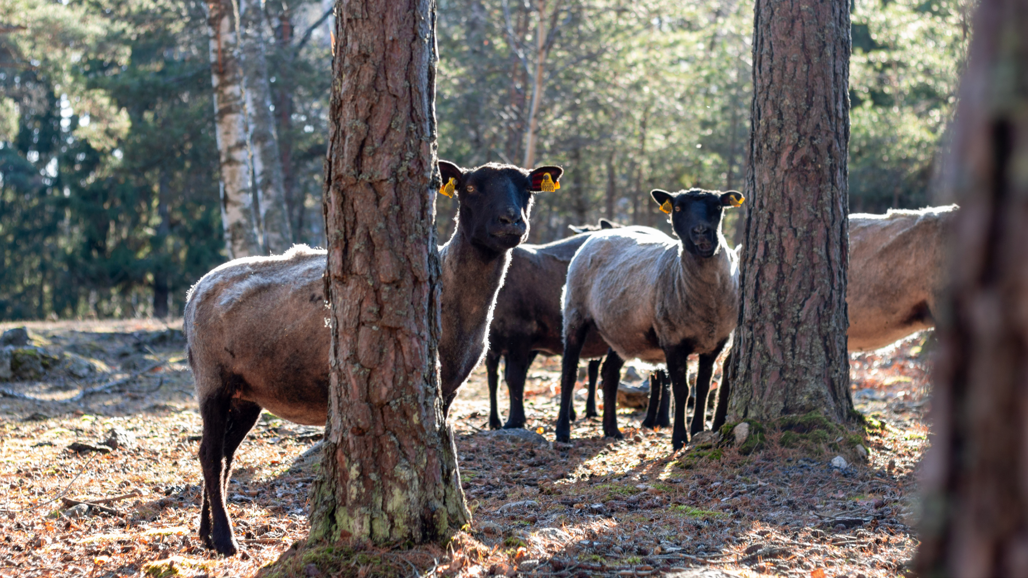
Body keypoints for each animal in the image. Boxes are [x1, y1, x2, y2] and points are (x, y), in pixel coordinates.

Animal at [183, 161, 562, 556]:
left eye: (527, 188)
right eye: (471, 188)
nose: (511, 221)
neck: (456, 293)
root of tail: (196, 289)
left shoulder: (449, 389)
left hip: (245, 395)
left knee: (223, 456)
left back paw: (207, 533)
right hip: (212, 379)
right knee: (209, 455)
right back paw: (224, 539)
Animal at [555, 188, 743, 450]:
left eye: (718, 206)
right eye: (678, 208)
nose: (701, 232)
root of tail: (600, 233)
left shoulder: (715, 343)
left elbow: (703, 387)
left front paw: (697, 432)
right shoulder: (672, 340)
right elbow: (681, 389)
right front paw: (679, 439)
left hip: (621, 331)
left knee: (609, 373)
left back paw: (612, 430)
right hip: (575, 312)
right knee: (569, 371)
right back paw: (562, 431)